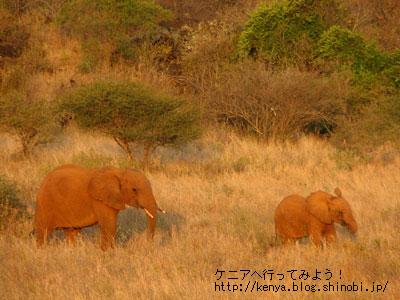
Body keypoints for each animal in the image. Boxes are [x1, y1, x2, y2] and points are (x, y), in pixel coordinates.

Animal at [34, 164, 164, 251]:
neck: (119, 172)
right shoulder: (99, 199)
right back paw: (41, 250)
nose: (149, 243)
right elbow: (109, 225)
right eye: (134, 189)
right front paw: (107, 253)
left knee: (72, 233)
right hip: (45, 203)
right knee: (43, 231)